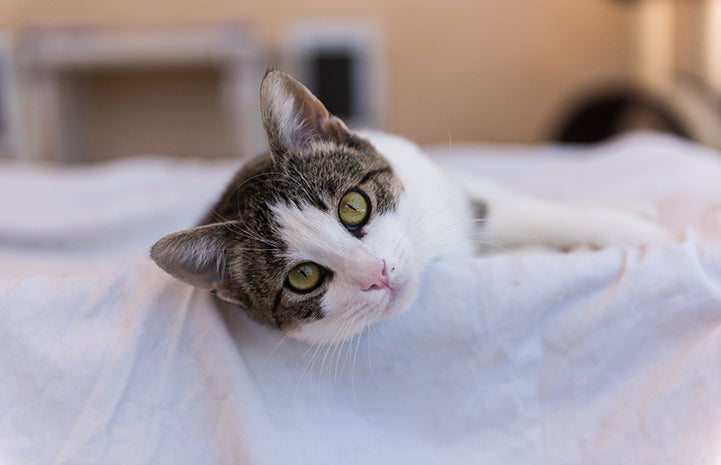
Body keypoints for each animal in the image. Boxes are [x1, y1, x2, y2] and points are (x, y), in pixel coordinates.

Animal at [152, 70, 676, 344]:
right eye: (303, 277)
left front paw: (643, 231)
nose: (378, 273)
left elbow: (536, 212)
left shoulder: (458, 194)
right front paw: (576, 250)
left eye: (353, 207)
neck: (430, 254)